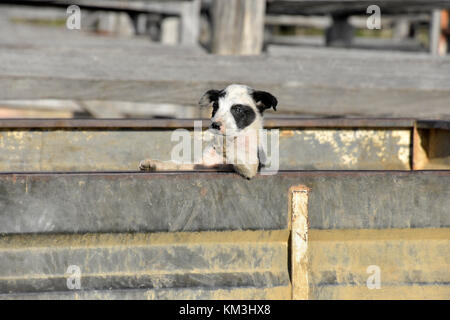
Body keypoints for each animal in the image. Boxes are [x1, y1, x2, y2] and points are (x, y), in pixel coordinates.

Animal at [139, 84, 276, 179]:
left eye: (238, 109)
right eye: (215, 107)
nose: (215, 125)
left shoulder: (251, 167)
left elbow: (238, 156)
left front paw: (225, 146)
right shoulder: (199, 165)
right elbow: (178, 164)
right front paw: (154, 164)